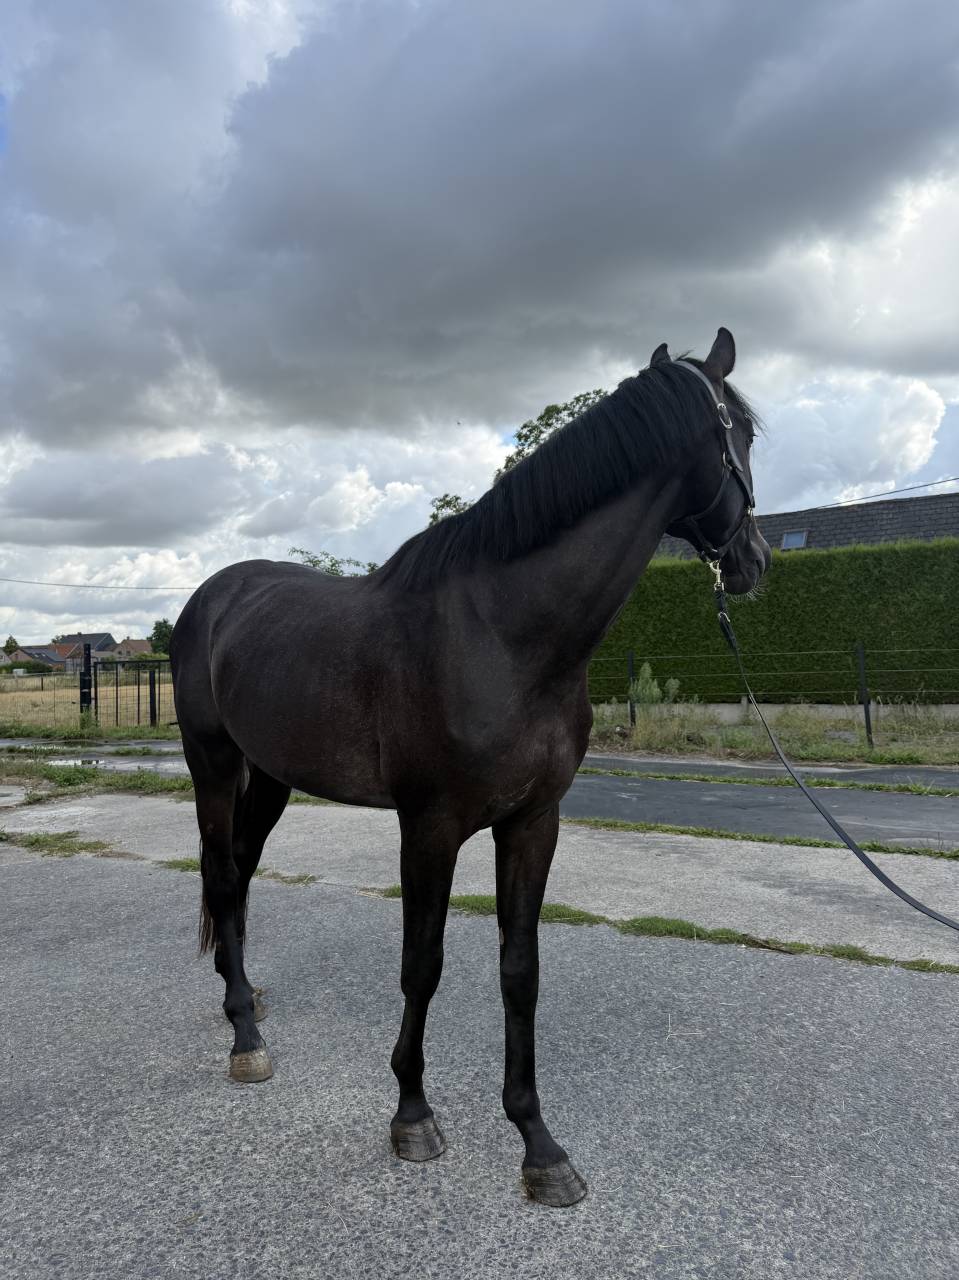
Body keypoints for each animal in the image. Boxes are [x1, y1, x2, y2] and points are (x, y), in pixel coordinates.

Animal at [170, 327, 770, 1208]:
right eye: (747, 433)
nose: (754, 561)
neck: (502, 634)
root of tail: (212, 597)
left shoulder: (531, 821)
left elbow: (519, 971)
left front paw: (538, 1144)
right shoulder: (430, 826)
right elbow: (422, 966)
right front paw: (412, 1115)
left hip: (270, 776)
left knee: (240, 877)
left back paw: (240, 1002)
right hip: (213, 766)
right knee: (219, 875)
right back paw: (245, 1038)